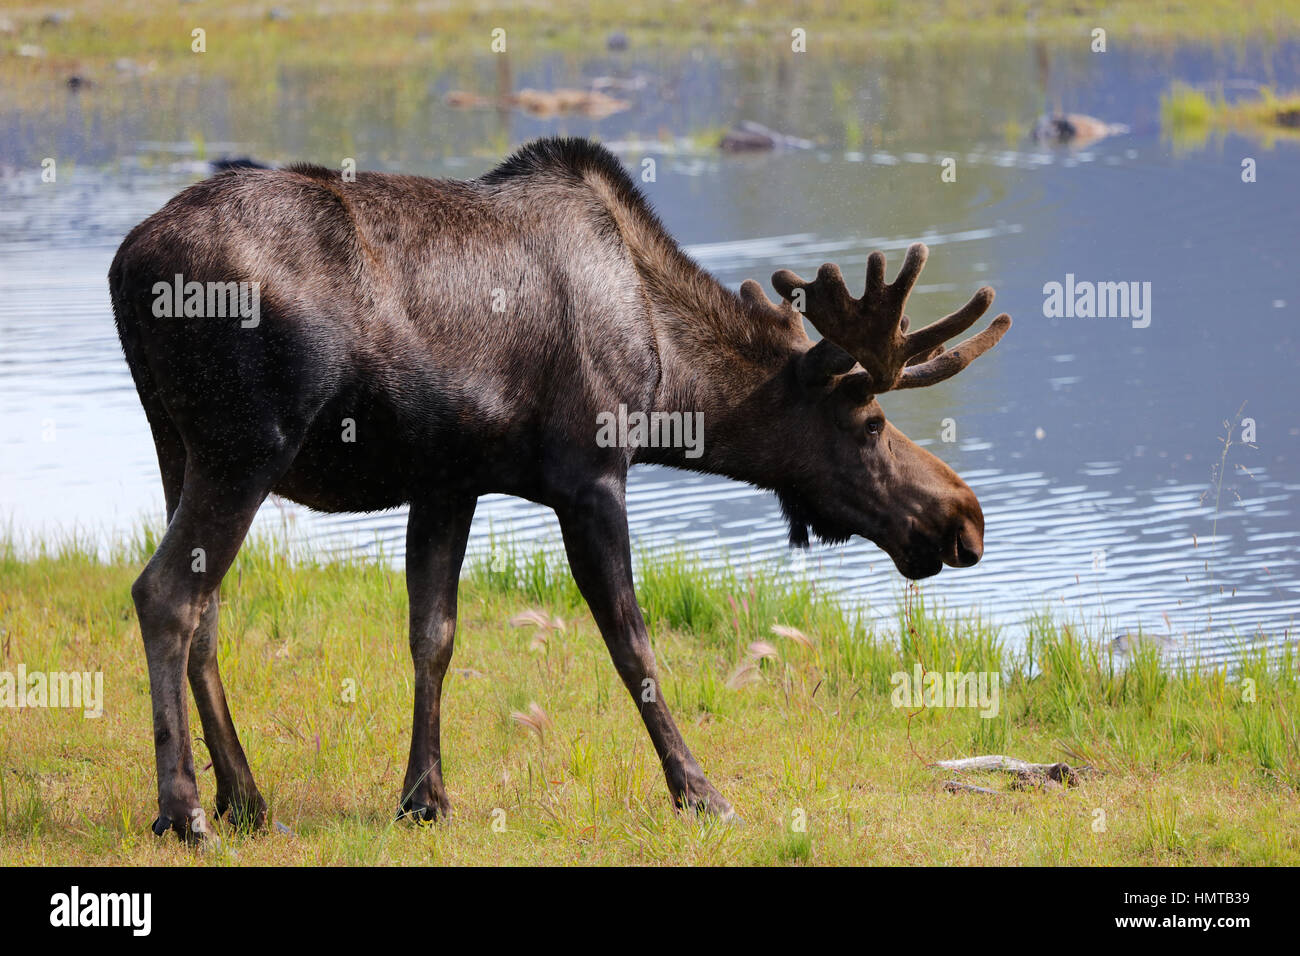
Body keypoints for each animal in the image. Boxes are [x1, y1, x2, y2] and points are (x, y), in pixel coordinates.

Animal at [109, 137, 1010, 840]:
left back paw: (247, 799)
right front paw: (699, 791)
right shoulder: (591, 476)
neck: (668, 383)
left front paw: (425, 798)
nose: (963, 520)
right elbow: (632, 645)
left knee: (205, 613)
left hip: (174, 443)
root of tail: (126, 266)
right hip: (246, 446)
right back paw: (184, 810)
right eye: (870, 423)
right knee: (165, 594)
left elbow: (432, 635)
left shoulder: (449, 481)